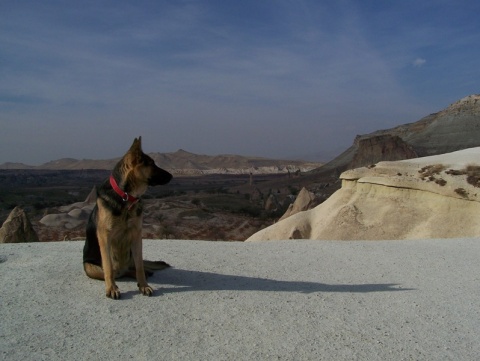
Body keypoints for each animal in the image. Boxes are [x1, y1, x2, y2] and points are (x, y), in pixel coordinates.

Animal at [84, 136, 172, 296]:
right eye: (152, 164)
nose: (172, 176)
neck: (126, 197)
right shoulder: (105, 237)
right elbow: (108, 267)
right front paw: (111, 288)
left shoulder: (136, 235)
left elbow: (140, 266)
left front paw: (144, 285)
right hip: (90, 268)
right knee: (115, 272)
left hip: (129, 255)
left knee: (134, 267)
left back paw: (145, 273)